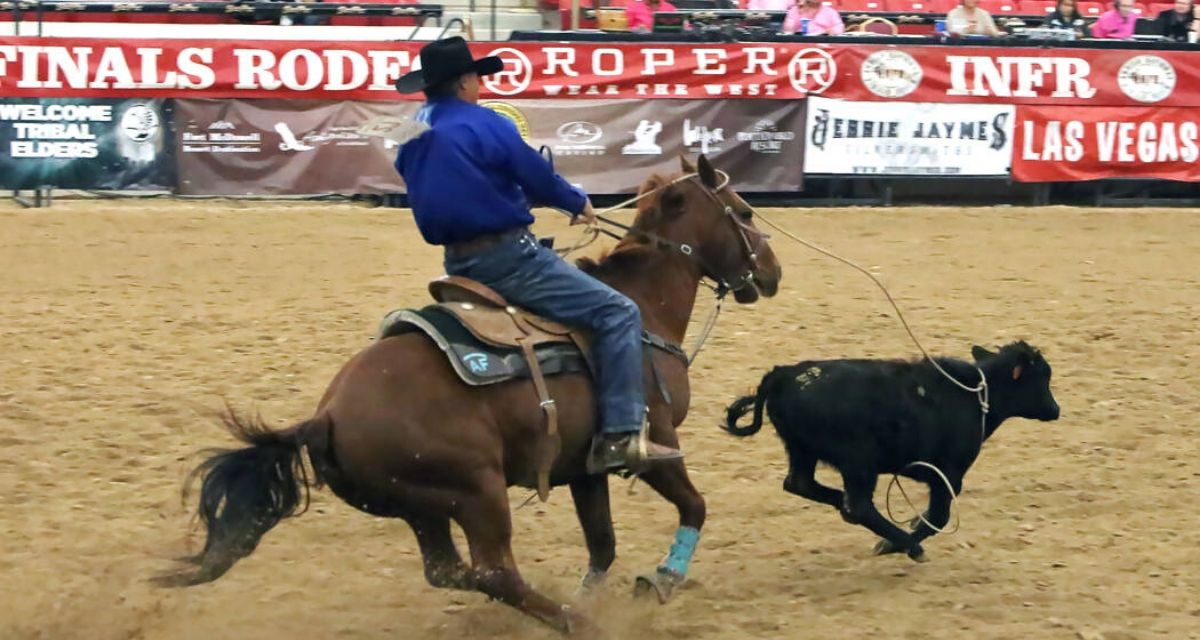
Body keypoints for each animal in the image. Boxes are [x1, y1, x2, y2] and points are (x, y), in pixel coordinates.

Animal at [159, 154, 782, 633]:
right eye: (745, 212)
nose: (772, 272)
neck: (643, 305)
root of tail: (326, 417)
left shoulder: (585, 466)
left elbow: (602, 543)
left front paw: (598, 591)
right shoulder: (655, 442)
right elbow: (694, 506)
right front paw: (662, 579)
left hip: (423, 504)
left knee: (450, 571)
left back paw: (565, 614)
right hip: (477, 492)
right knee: (493, 570)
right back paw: (575, 623)